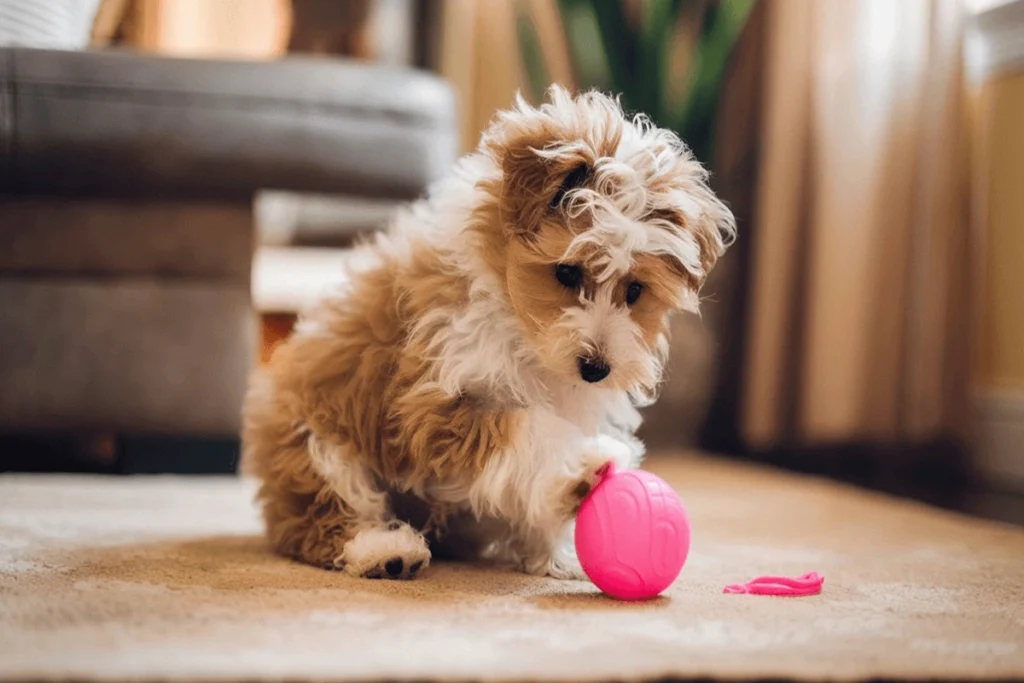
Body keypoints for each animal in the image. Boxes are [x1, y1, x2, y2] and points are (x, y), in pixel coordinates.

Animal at [240, 82, 737, 581]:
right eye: (566, 272)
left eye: (634, 290)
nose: (596, 368)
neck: (521, 328)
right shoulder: (434, 402)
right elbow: (527, 426)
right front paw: (580, 465)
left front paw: (558, 544)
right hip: (314, 441)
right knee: (322, 513)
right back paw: (384, 550)